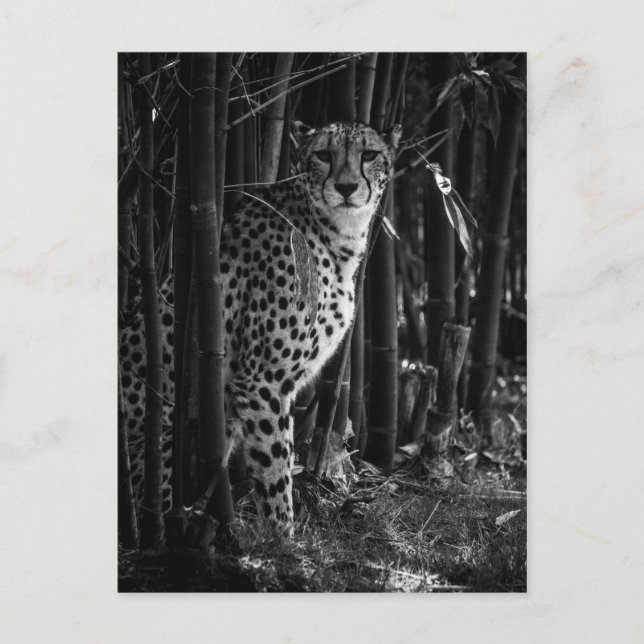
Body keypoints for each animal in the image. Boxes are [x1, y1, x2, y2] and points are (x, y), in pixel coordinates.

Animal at [119, 121, 401, 536]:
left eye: (369, 155)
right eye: (323, 155)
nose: (347, 187)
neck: (334, 233)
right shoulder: (263, 381)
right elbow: (275, 469)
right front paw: (283, 541)